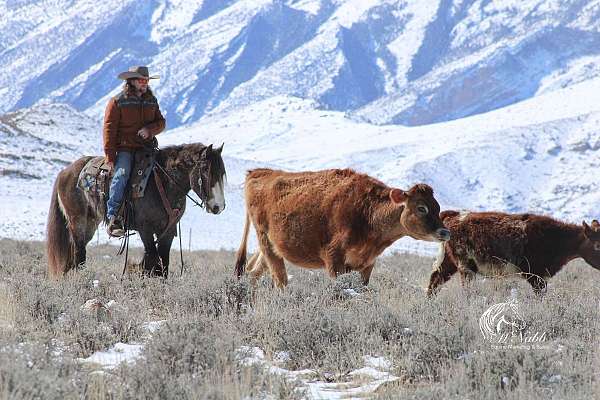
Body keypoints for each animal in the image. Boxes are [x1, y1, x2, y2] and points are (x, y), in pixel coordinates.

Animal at [47, 143, 227, 278]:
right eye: (206, 171)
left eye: (222, 173)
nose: (219, 206)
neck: (162, 183)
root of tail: (65, 172)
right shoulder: (145, 229)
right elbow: (153, 261)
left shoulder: (168, 231)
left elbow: (163, 263)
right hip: (77, 220)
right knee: (78, 252)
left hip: (91, 223)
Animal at [234, 167, 450, 286]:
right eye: (421, 208)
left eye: (437, 207)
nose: (445, 232)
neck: (368, 214)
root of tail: (259, 172)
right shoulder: (334, 258)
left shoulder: (367, 264)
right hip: (266, 243)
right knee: (280, 281)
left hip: (271, 249)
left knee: (252, 273)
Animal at [426, 211, 600, 296]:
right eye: (597, 245)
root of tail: (454, 216)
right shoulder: (534, 275)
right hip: (465, 266)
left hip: (449, 262)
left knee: (435, 280)